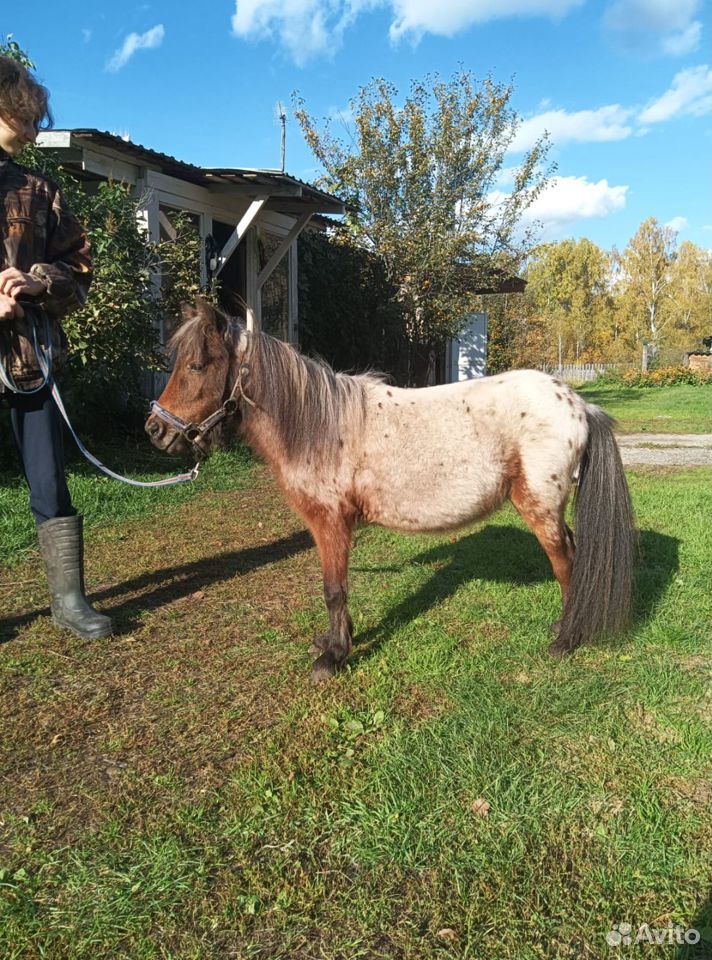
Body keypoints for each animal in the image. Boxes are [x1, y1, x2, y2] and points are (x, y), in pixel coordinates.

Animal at [146, 300, 636, 684]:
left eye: (196, 366)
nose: (155, 430)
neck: (318, 426)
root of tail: (578, 404)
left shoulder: (331, 524)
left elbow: (334, 589)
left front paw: (333, 658)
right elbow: (337, 588)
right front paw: (334, 642)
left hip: (540, 507)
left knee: (566, 563)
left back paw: (565, 640)